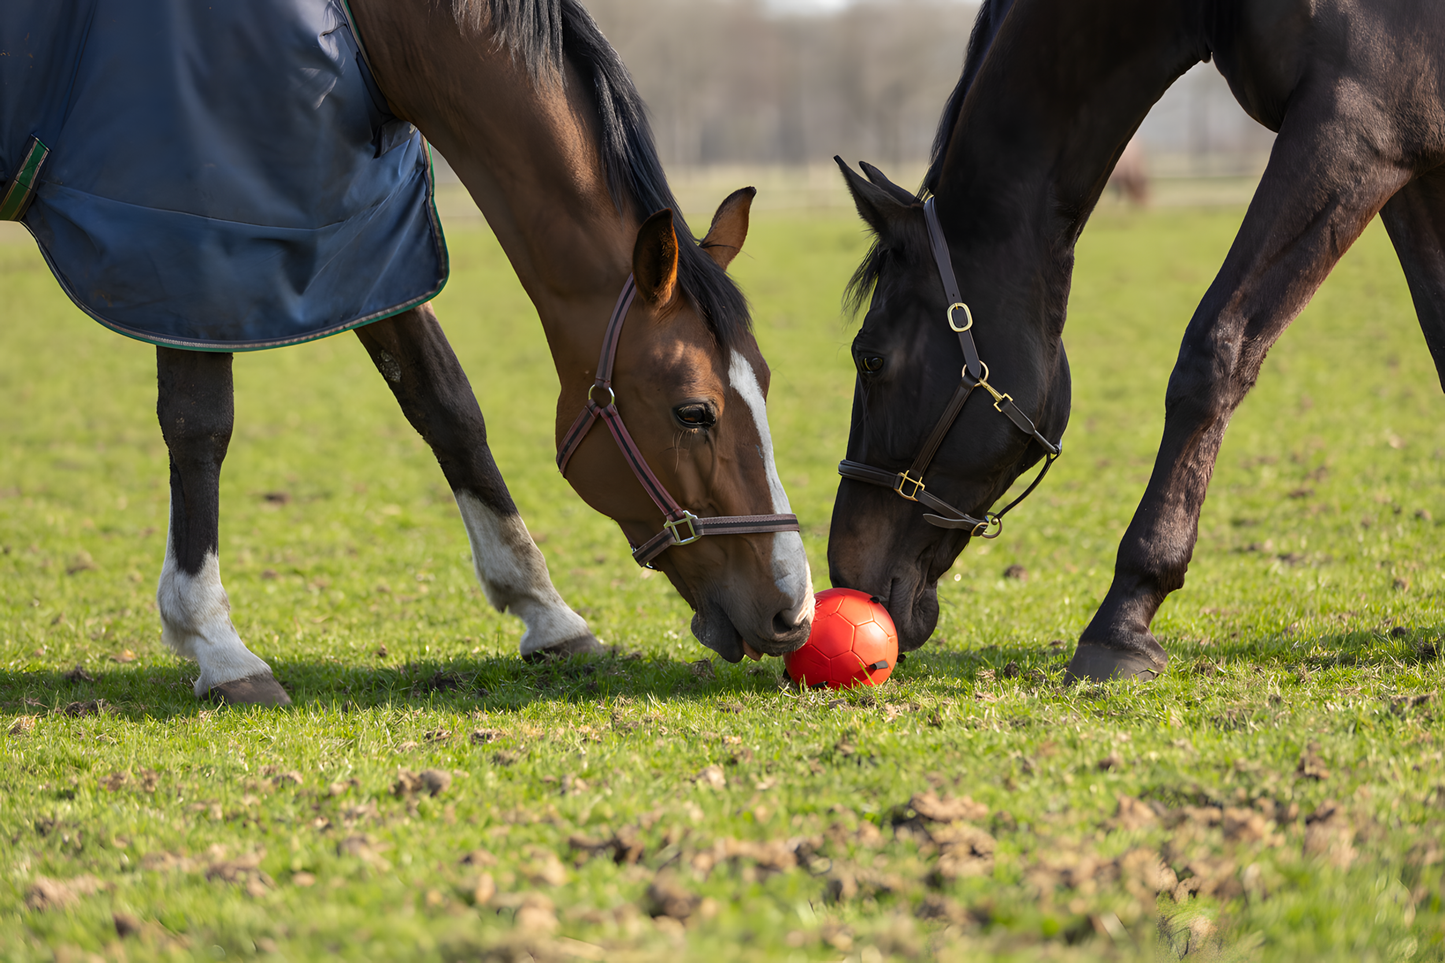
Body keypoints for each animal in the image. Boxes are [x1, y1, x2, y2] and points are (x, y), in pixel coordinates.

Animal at [3, 0, 814, 706]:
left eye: (769, 384)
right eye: (694, 411)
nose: (794, 611)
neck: (362, 30)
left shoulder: (370, 240)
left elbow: (446, 405)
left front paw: (547, 613)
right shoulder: (196, 244)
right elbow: (200, 426)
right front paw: (217, 645)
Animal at [828, 0, 1445, 680]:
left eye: (870, 358)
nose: (843, 570)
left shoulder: (1356, 124)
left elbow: (1215, 348)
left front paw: (1123, 618)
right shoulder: (1413, 158)